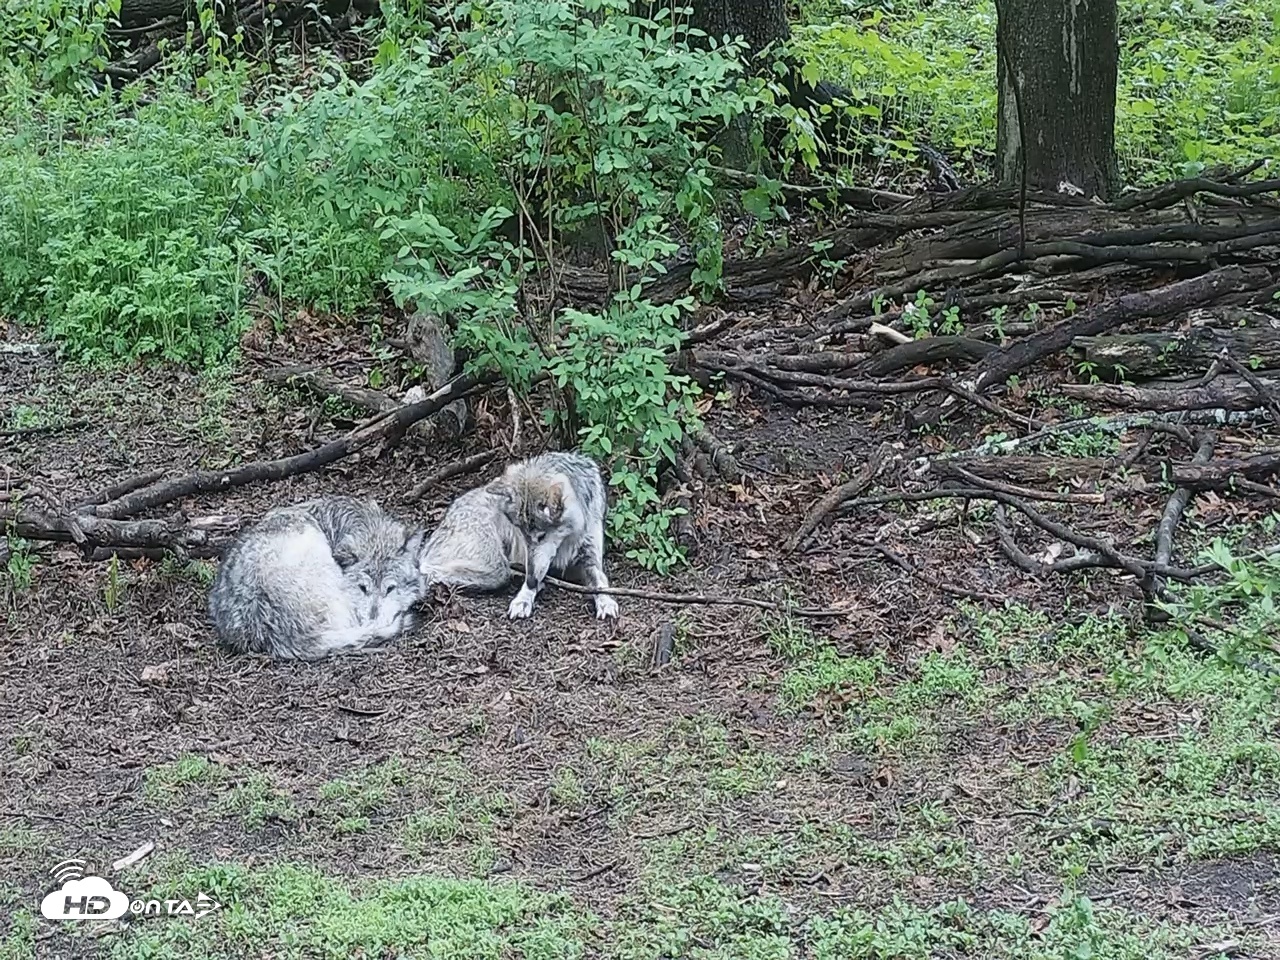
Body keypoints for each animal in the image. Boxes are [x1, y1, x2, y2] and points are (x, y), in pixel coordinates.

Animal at [420, 451, 618, 621]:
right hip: (496, 567)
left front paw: (606, 601)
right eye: (523, 535)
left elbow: (600, 581)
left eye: (541, 536)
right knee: (427, 570)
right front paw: (523, 598)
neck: (568, 539)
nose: (530, 581)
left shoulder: (589, 558)